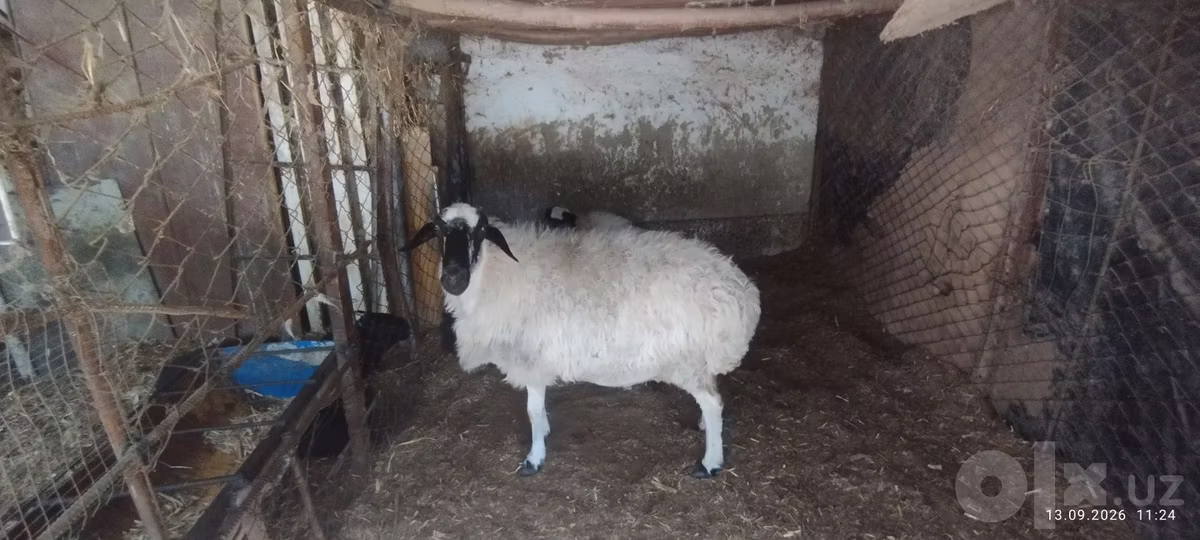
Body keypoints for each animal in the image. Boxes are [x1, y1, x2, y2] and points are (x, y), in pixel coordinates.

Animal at [402, 203, 761, 478]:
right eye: (439, 231)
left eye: (478, 233)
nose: (454, 277)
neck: (496, 274)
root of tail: (740, 291)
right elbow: (539, 410)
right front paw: (544, 433)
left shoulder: (531, 359)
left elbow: (532, 411)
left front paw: (535, 457)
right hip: (698, 361)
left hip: (688, 360)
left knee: (713, 402)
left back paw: (710, 462)